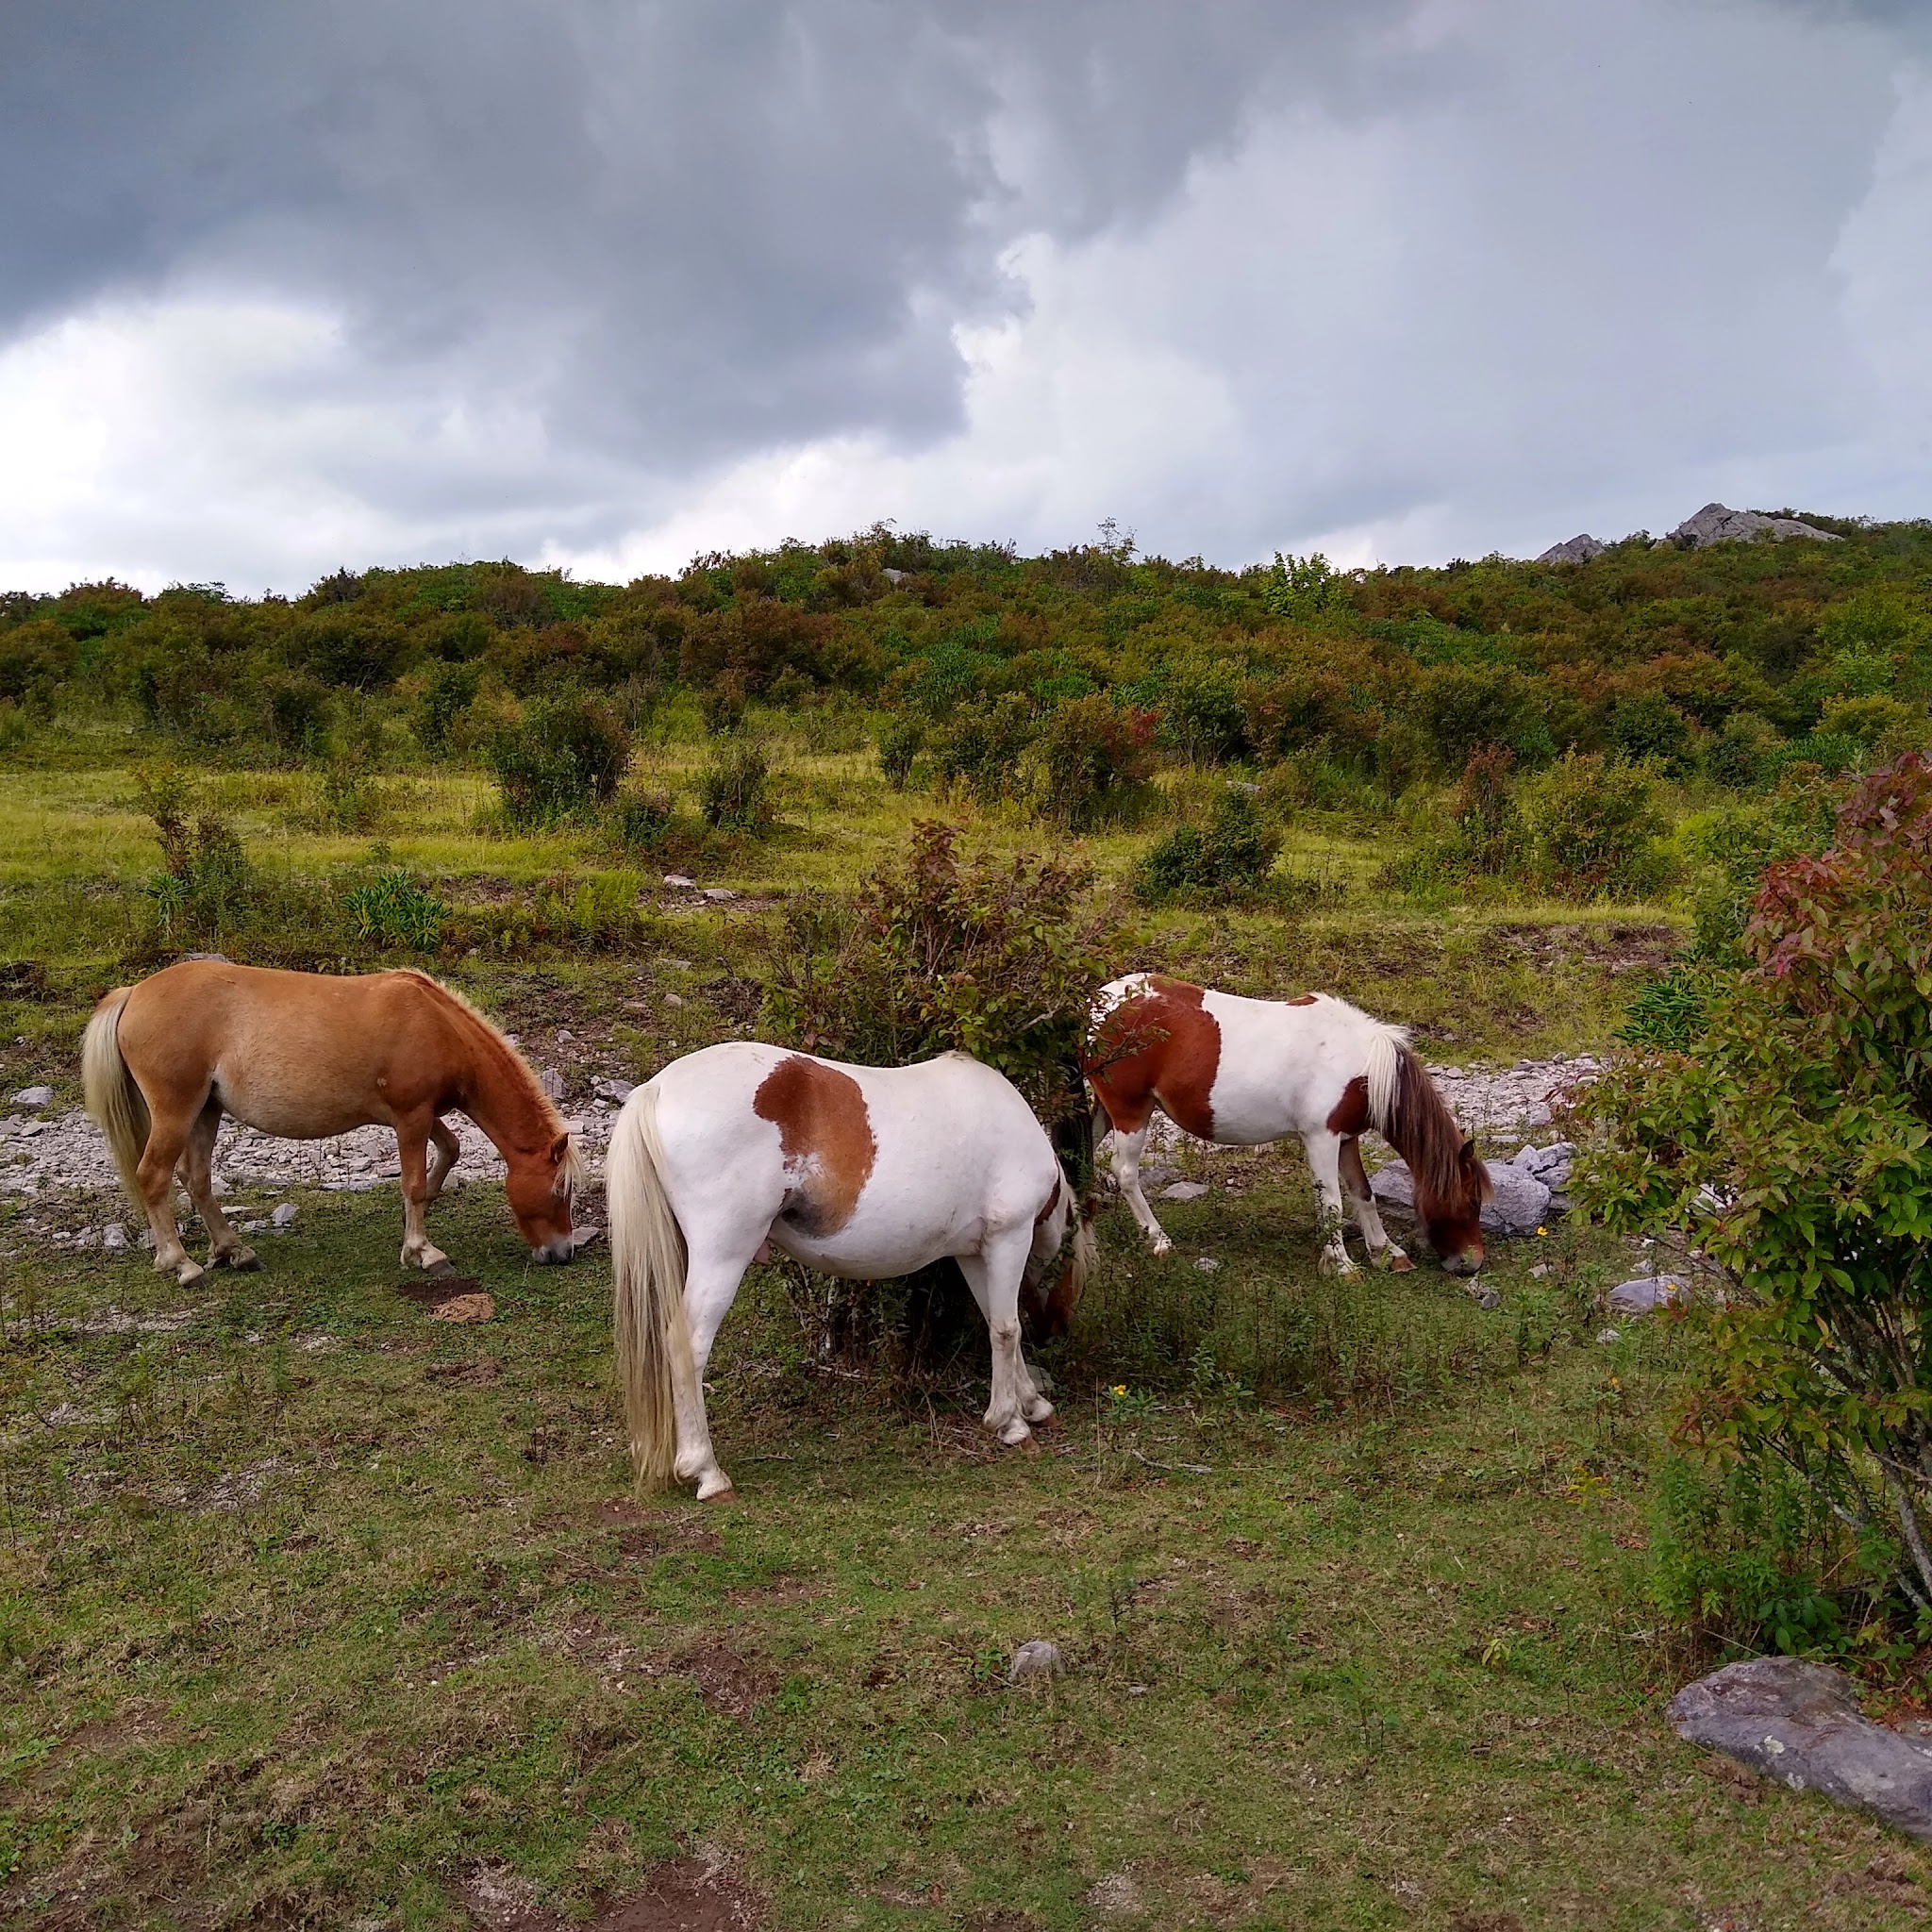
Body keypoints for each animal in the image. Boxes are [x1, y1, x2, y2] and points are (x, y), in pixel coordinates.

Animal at [81, 960, 584, 1286]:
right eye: (558, 1191)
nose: (562, 1253)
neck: (436, 1025)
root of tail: (132, 994)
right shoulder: (411, 1118)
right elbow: (413, 1183)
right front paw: (423, 1251)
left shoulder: (418, 1116)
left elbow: (449, 1151)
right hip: (176, 1112)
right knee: (155, 1177)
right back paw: (181, 1264)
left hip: (206, 1111)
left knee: (196, 1178)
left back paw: (234, 1251)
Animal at [607, 1041, 1093, 1500]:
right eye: (1076, 1273)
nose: (1057, 1331)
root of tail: (657, 1088)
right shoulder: (1009, 1237)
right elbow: (1007, 1329)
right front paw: (1011, 1423)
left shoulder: (974, 1252)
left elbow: (996, 1322)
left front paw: (1031, 1403)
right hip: (722, 1255)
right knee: (687, 1345)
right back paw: (707, 1472)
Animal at [1084, 973, 1491, 1276]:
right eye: (1471, 1201)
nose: (1473, 1263)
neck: (1364, 1068)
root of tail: (1100, 1003)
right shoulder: (1321, 1138)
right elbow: (1332, 1201)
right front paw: (1341, 1265)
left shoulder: (1346, 1138)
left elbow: (1363, 1193)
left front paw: (1386, 1251)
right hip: (1130, 1111)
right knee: (1124, 1173)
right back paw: (1157, 1240)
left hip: (1104, 1110)